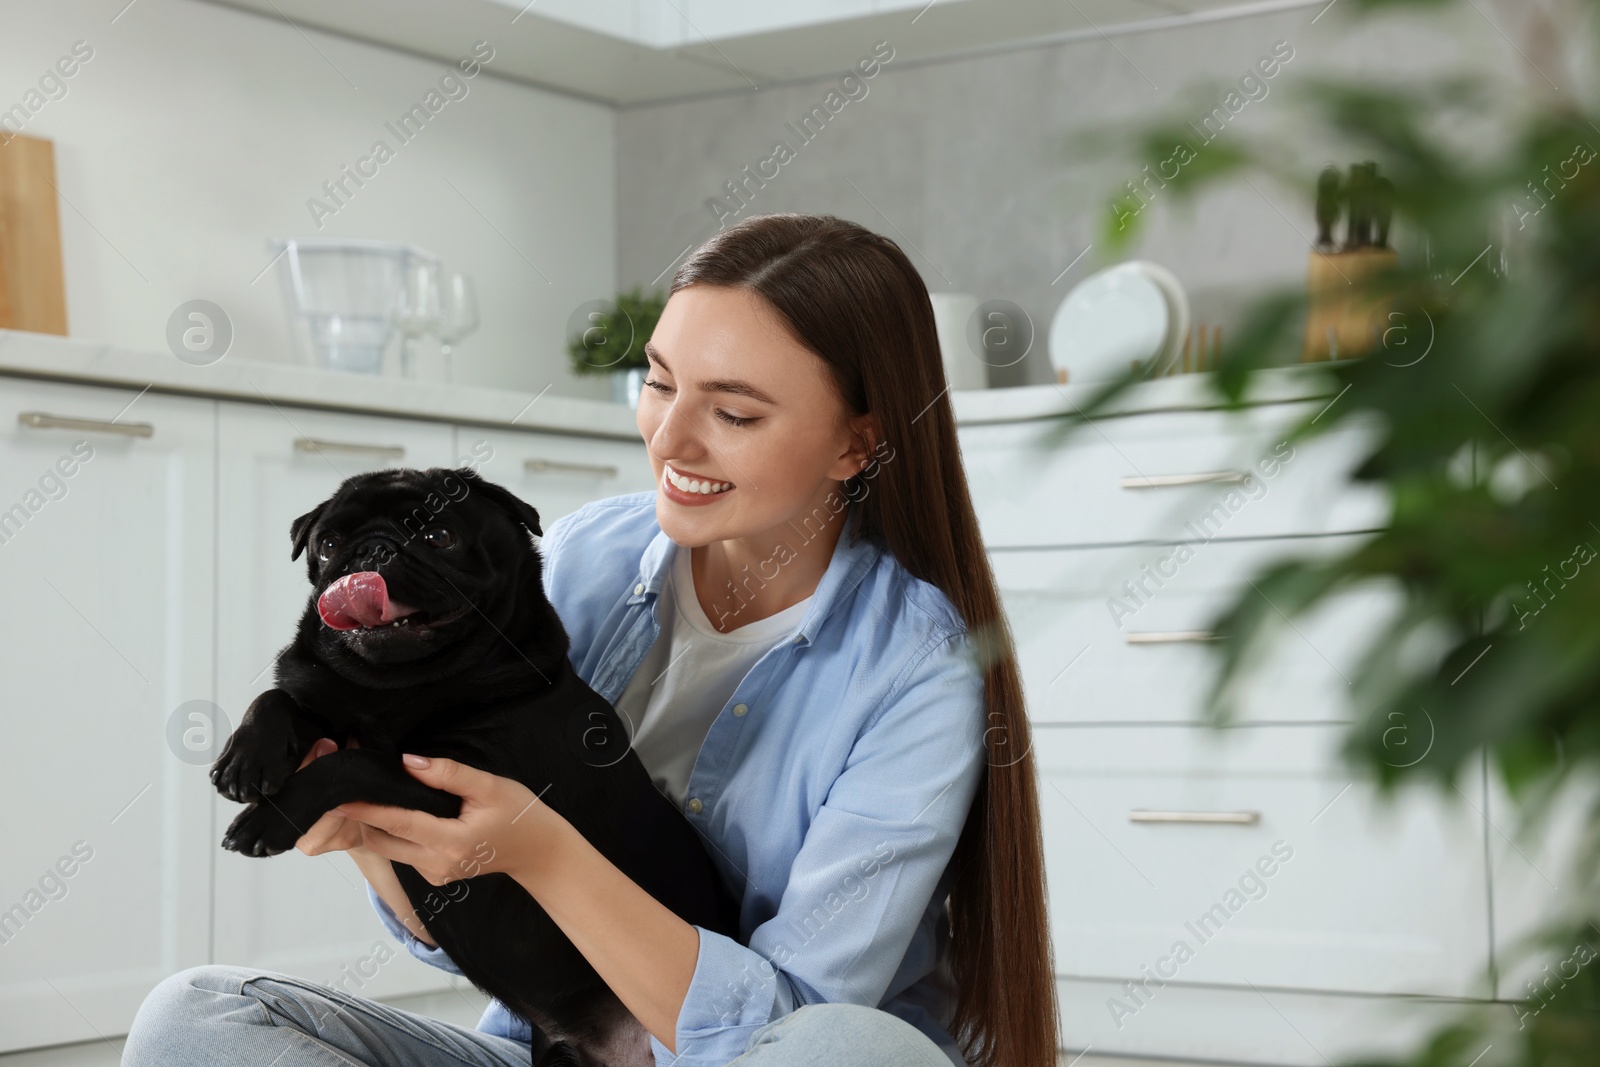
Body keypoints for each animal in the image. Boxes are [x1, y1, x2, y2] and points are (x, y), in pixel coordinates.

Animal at [206, 470, 742, 1067]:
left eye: (440, 536)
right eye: (327, 544)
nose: (371, 550)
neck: (394, 690)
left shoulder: (459, 789)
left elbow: (351, 763)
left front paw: (267, 820)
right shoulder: (326, 705)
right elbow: (279, 698)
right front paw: (245, 758)